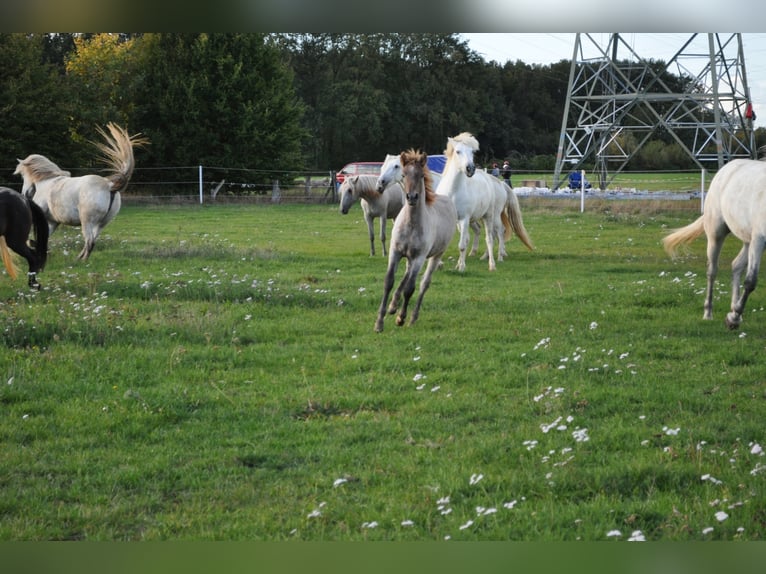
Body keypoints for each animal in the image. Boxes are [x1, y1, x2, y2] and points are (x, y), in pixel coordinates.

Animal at [13, 126, 148, 264]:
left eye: (22, 175)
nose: (24, 193)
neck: (47, 182)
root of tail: (109, 186)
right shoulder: (53, 222)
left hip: (87, 221)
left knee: (89, 241)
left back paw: (81, 261)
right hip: (101, 224)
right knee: (92, 240)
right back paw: (79, 258)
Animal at [376, 151, 460, 336]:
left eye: (421, 175)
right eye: (404, 174)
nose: (412, 197)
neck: (411, 224)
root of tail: (446, 199)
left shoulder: (419, 258)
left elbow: (410, 288)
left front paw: (401, 318)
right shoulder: (395, 252)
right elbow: (389, 282)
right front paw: (379, 322)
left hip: (435, 256)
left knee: (423, 284)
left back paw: (412, 317)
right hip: (409, 257)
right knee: (406, 275)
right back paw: (393, 305)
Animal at [438, 133, 536, 272]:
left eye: (472, 152)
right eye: (458, 151)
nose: (470, 169)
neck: (453, 192)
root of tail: (497, 182)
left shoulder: (464, 219)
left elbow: (462, 245)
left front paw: (461, 267)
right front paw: (441, 264)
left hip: (490, 216)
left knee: (492, 236)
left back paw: (494, 262)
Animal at [660, 158, 766, 330]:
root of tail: (727, 168)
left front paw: (733, 316)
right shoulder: (759, 238)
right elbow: (751, 282)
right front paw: (732, 319)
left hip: (747, 241)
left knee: (736, 266)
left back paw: (735, 312)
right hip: (717, 234)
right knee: (712, 271)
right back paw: (710, 314)